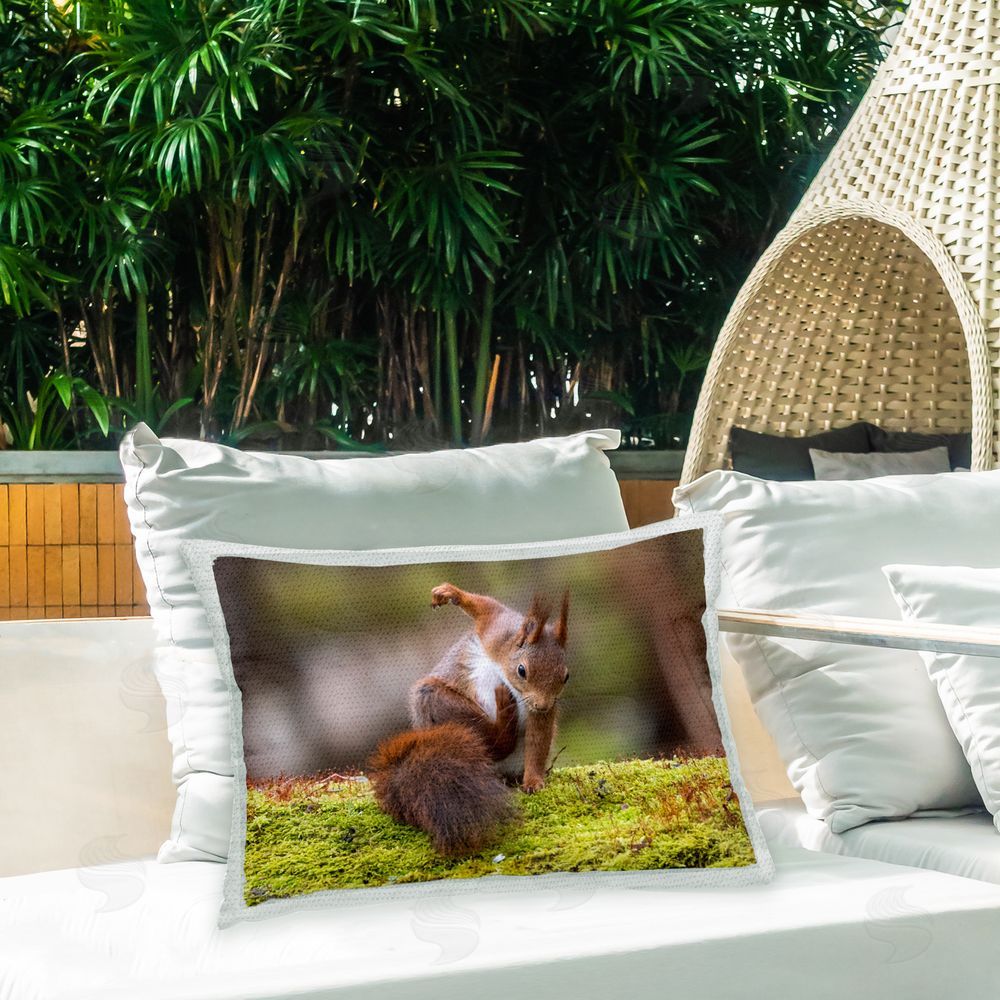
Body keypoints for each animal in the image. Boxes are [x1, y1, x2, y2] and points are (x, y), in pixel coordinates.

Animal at [367, 582, 570, 855]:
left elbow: (538, 742)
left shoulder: (539, 713)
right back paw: (503, 716)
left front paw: (534, 781)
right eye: (522, 670)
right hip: (435, 701)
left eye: (566, 676)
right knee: (491, 740)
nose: (542, 704)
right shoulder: (496, 630)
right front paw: (450, 594)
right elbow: (485, 607)